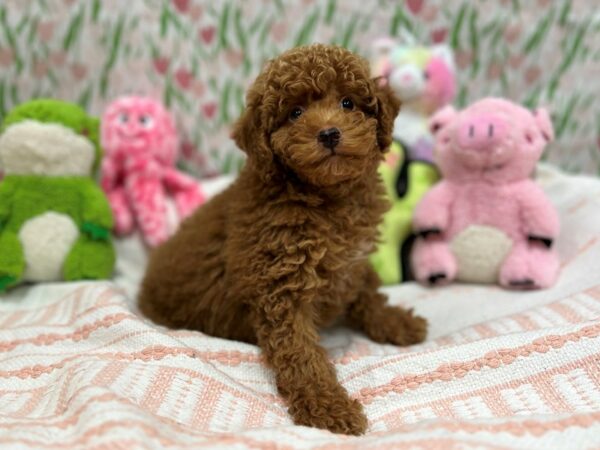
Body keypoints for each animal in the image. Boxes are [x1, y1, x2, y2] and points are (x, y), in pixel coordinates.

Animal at [137, 44, 426, 434]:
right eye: (295, 113)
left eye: (348, 103)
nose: (329, 134)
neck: (324, 199)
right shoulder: (281, 290)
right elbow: (301, 355)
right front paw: (329, 407)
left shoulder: (354, 261)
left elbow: (367, 292)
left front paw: (395, 322)